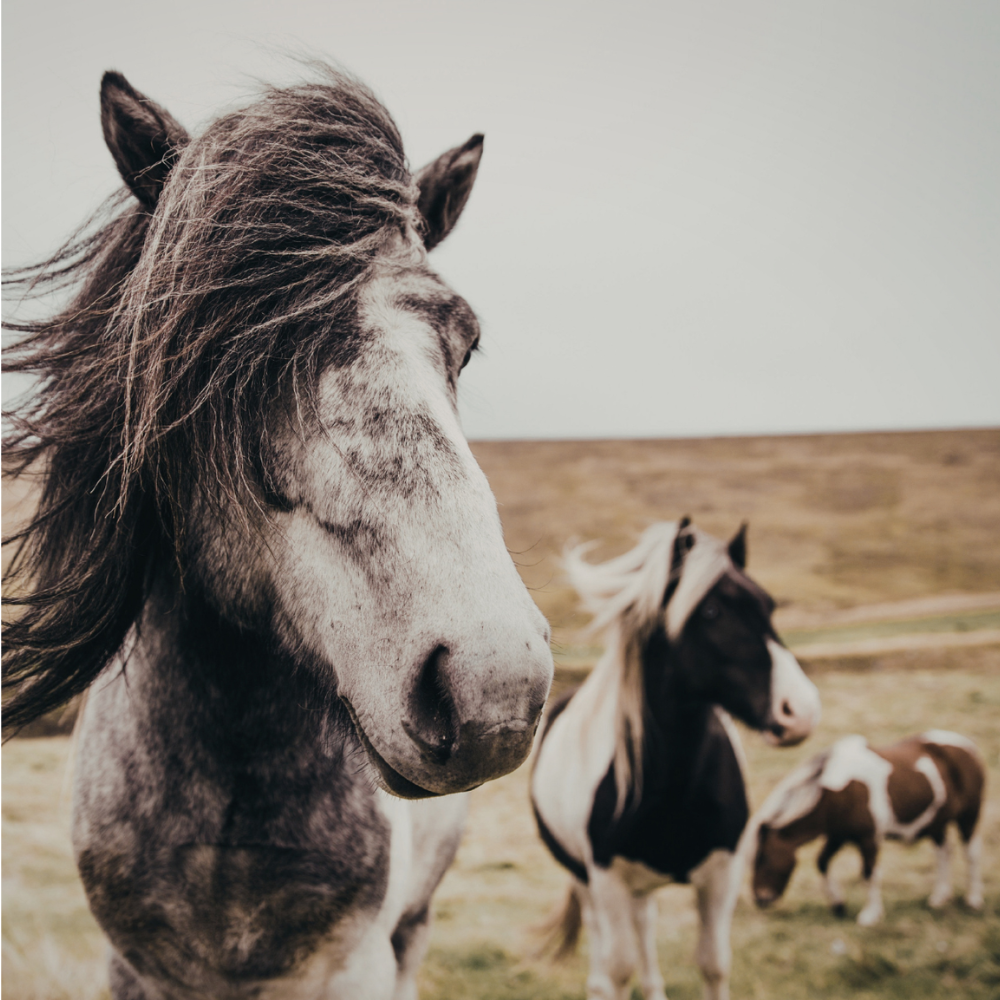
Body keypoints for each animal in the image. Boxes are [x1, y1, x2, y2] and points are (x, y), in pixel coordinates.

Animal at [530, 519, 821, 1000]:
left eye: (769, 605)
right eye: (711, 612)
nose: (800, 710)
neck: (673, 785)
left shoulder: (722, 875)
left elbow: (713, 964)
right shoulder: (606, 879)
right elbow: (618, 969)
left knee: (645, 926)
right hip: (585, 881)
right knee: (604, 955)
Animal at [751, 731, 985, 925]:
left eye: (764, 858)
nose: (759, 899)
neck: (839, 792)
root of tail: (969, 747)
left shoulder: (868, 839)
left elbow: (869, 873)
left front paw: (871, 915)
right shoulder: (838, 836)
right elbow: (822, 862)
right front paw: (838, 904)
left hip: (968, 817)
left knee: (971, 853)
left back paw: (973, 899)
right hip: (937, 824)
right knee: (944, 852)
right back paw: (940, 897)